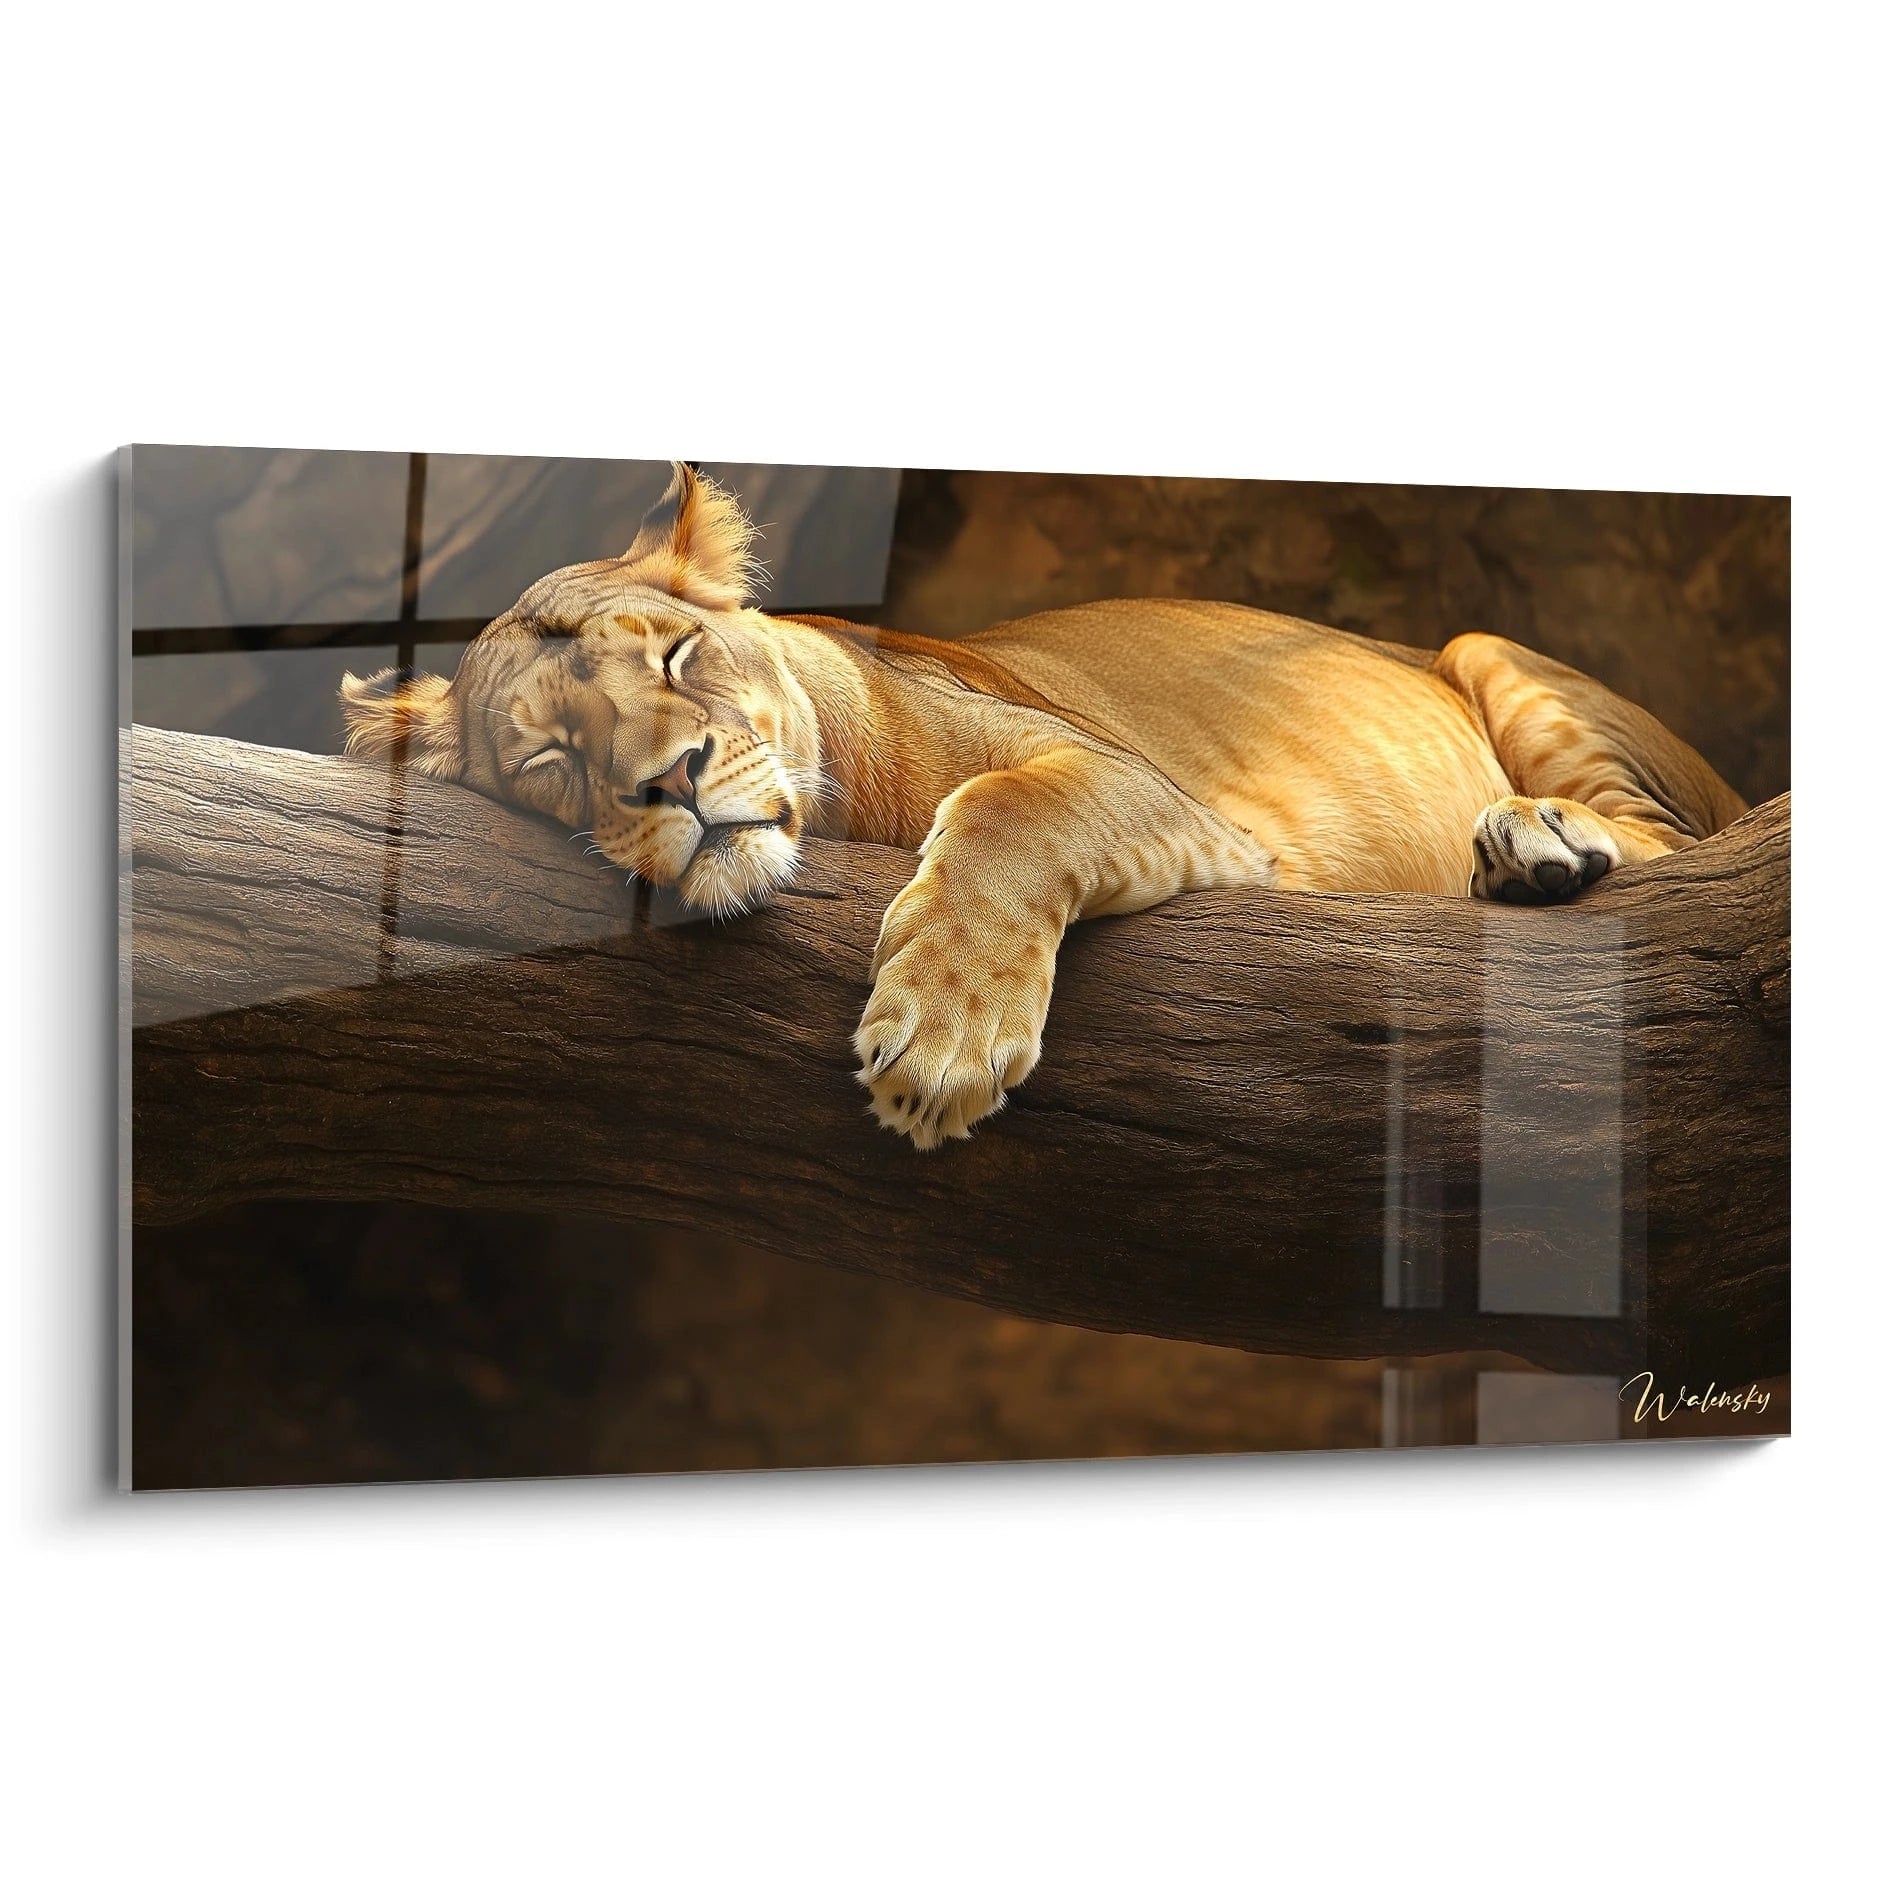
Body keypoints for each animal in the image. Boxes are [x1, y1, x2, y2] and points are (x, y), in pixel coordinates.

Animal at [342, 463, 1746, 1151]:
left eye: (678, 658)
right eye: (552, 757)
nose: (670, 780)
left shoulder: (1137, 786)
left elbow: (1006, 811)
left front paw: (938, 1047)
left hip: (1486, 650)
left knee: (1680, 840)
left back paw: (1533, 840)